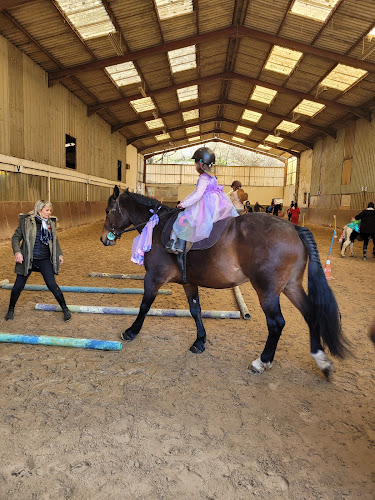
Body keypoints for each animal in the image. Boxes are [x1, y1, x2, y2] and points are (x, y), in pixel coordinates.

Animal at [101, 188, 348, 378]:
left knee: (276, 323)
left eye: (108, 211)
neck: (158, 226)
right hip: (291, 286)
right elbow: (196, 310)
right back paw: (322, 361)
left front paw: (131, 331)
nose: (104, 238)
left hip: (267, 290)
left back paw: (262, 361)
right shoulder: (188, 282)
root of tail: (293, 228)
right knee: (311, 314)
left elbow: (144, 306)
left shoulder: (153, 278)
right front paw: (200, 342)